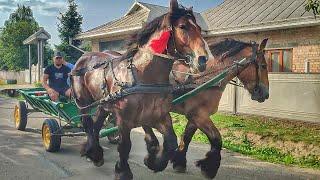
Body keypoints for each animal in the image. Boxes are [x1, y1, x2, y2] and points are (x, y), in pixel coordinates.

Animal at [70, 0, 210, 179]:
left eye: (199, 28)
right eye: (182, 26)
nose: (203, 60)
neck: (143, 74)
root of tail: (82, 58)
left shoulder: (158, 115)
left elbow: (170, 141)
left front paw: (154, 162)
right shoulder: (124, 120)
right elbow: (125, 145)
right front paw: (123, 171)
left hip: (103, 103)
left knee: (96, 124)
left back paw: (95, 154)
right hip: (83, 102)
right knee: (88, 125)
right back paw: (93, 152)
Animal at [141, 38, 268, 178]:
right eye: (263, 65)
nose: (265, 94)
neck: (204, 78)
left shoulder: (195, 116)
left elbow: (187, 137)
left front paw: (180, 162)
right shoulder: (198, 115)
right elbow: (216, 139)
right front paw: (210, 168)